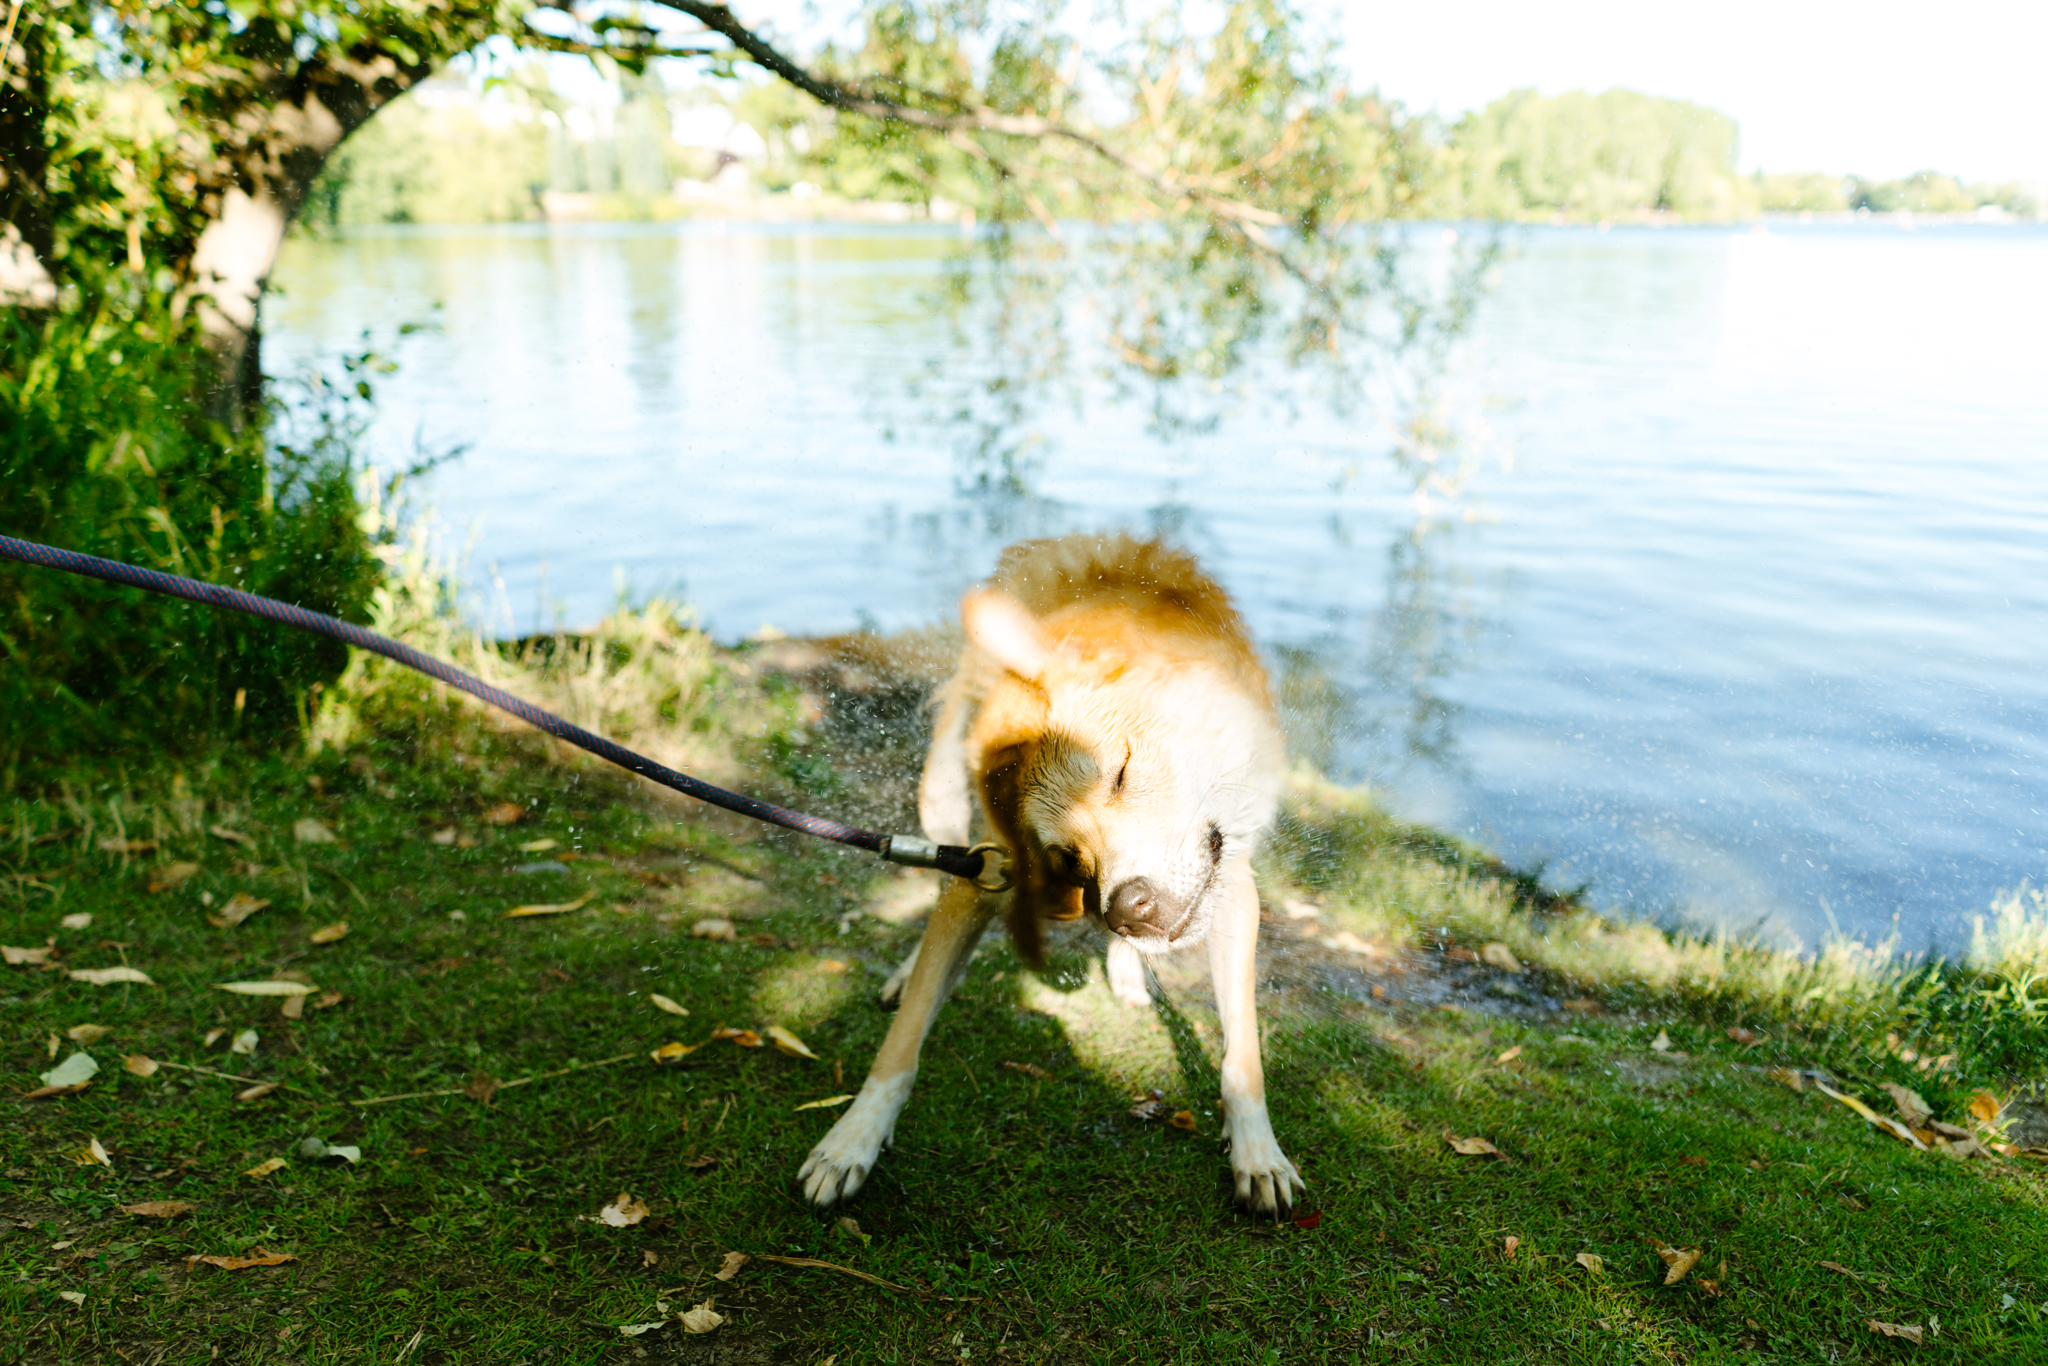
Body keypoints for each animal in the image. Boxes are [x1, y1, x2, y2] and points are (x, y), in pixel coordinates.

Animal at [790, 532, 1302, 1220]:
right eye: (1069, 855)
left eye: (1120, 772)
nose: (1129, 908)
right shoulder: (987, 871)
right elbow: (901, 1044)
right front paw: (852, 1140)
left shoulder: (1233, 886)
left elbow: (1242, 1055)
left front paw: (1257, 1153)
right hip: (942, 804)